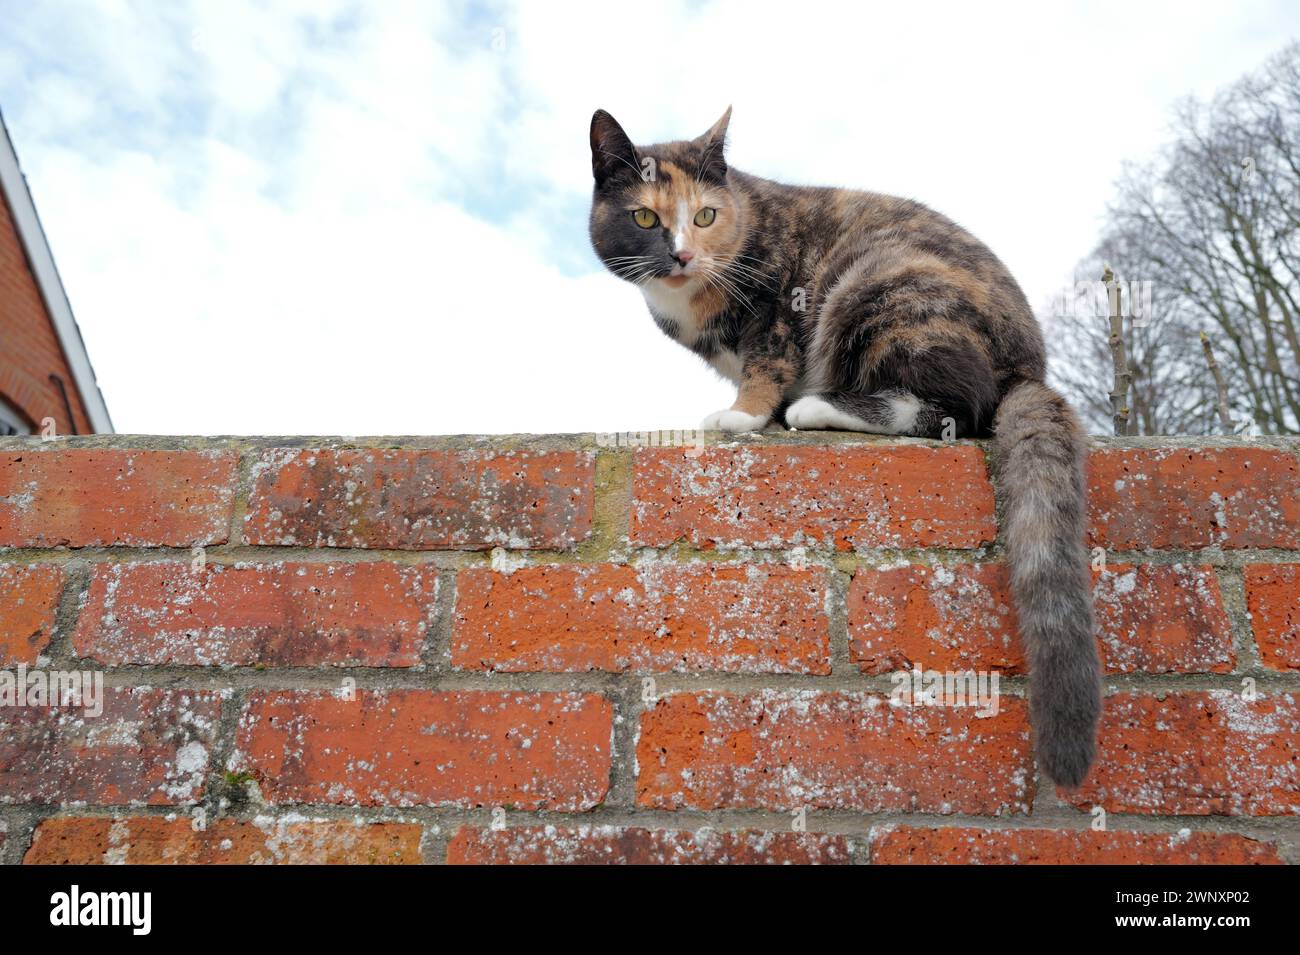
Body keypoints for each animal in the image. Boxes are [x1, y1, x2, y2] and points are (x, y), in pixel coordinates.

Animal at [592, 108, 1107, 789]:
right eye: (645, 218)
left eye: (703, 215)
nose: (681, 253)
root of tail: (1030, 369)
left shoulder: (778, 305)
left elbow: (768, 361)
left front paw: (743, 414)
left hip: (877, 282)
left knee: (958, 407)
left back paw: (818, 407)